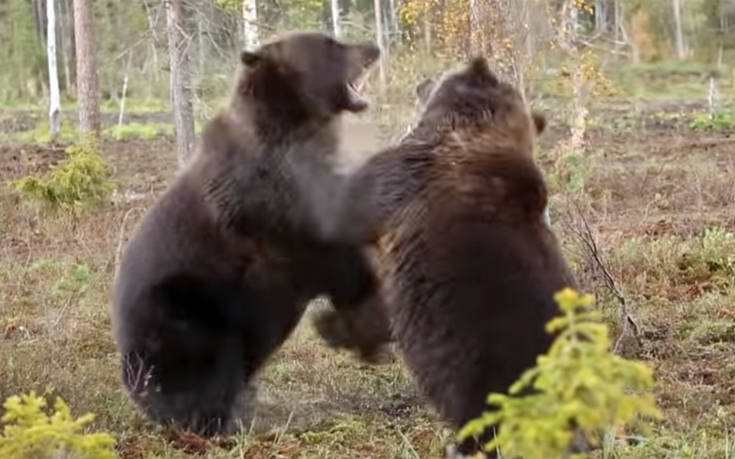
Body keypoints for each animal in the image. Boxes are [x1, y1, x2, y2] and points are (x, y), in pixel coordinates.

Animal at [113, 33, 386, 438]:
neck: (294, 128)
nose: (372, 47)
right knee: (211, 364)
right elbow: (330, 254)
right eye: (330, 44)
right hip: (183, 313)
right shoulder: (268, 205)